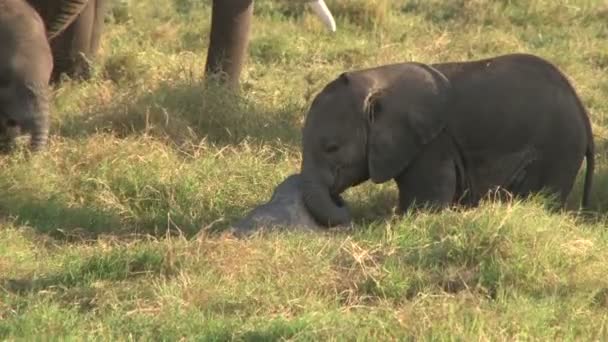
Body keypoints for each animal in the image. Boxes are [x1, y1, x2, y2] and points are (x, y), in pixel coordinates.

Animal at [302, 52, 596, 227]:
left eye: (331, 148)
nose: (340, 200)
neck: (380, 77)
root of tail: (581, 110)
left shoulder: (431, 144)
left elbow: (427, 201)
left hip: (559, 150)